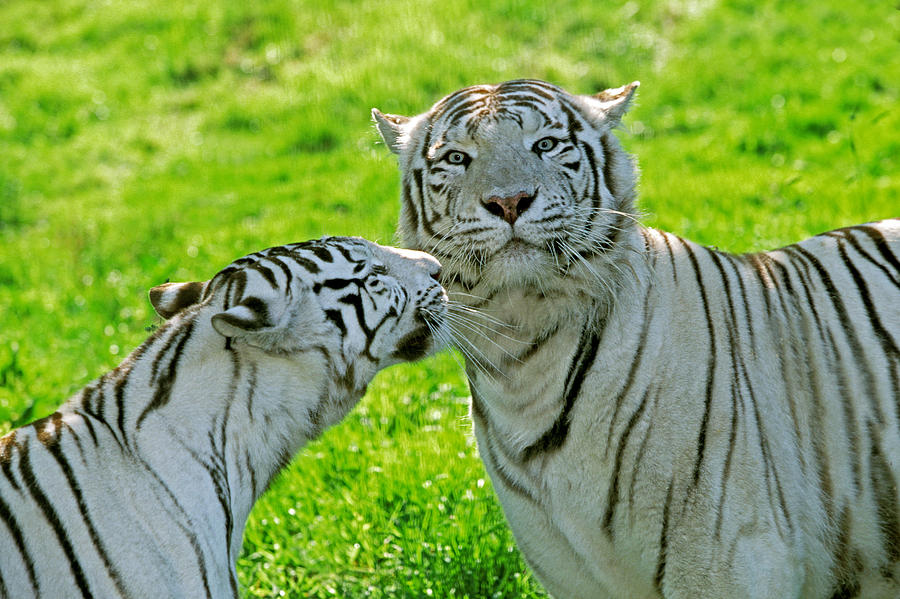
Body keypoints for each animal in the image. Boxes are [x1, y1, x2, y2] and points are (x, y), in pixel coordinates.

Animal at [372, 81, 900, 599]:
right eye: (458, 157)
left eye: (545, 145)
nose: (509, 202)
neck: (521, 356)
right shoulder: (570, 576)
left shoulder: (729, 559)